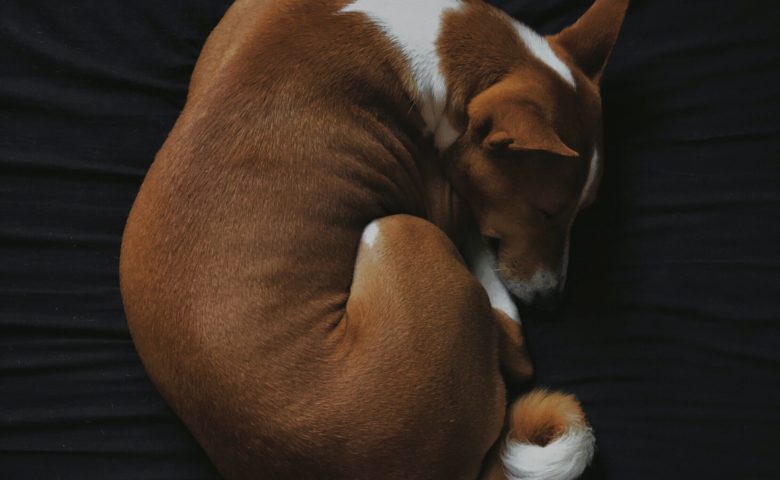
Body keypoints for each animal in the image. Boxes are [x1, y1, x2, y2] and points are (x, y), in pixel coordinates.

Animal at [120, 1, 628, 478]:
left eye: (583, 211)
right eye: (546, 211)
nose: (552, 303)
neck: (423, 36)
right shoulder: (442, 200)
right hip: (401, 228)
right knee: (518, 356)